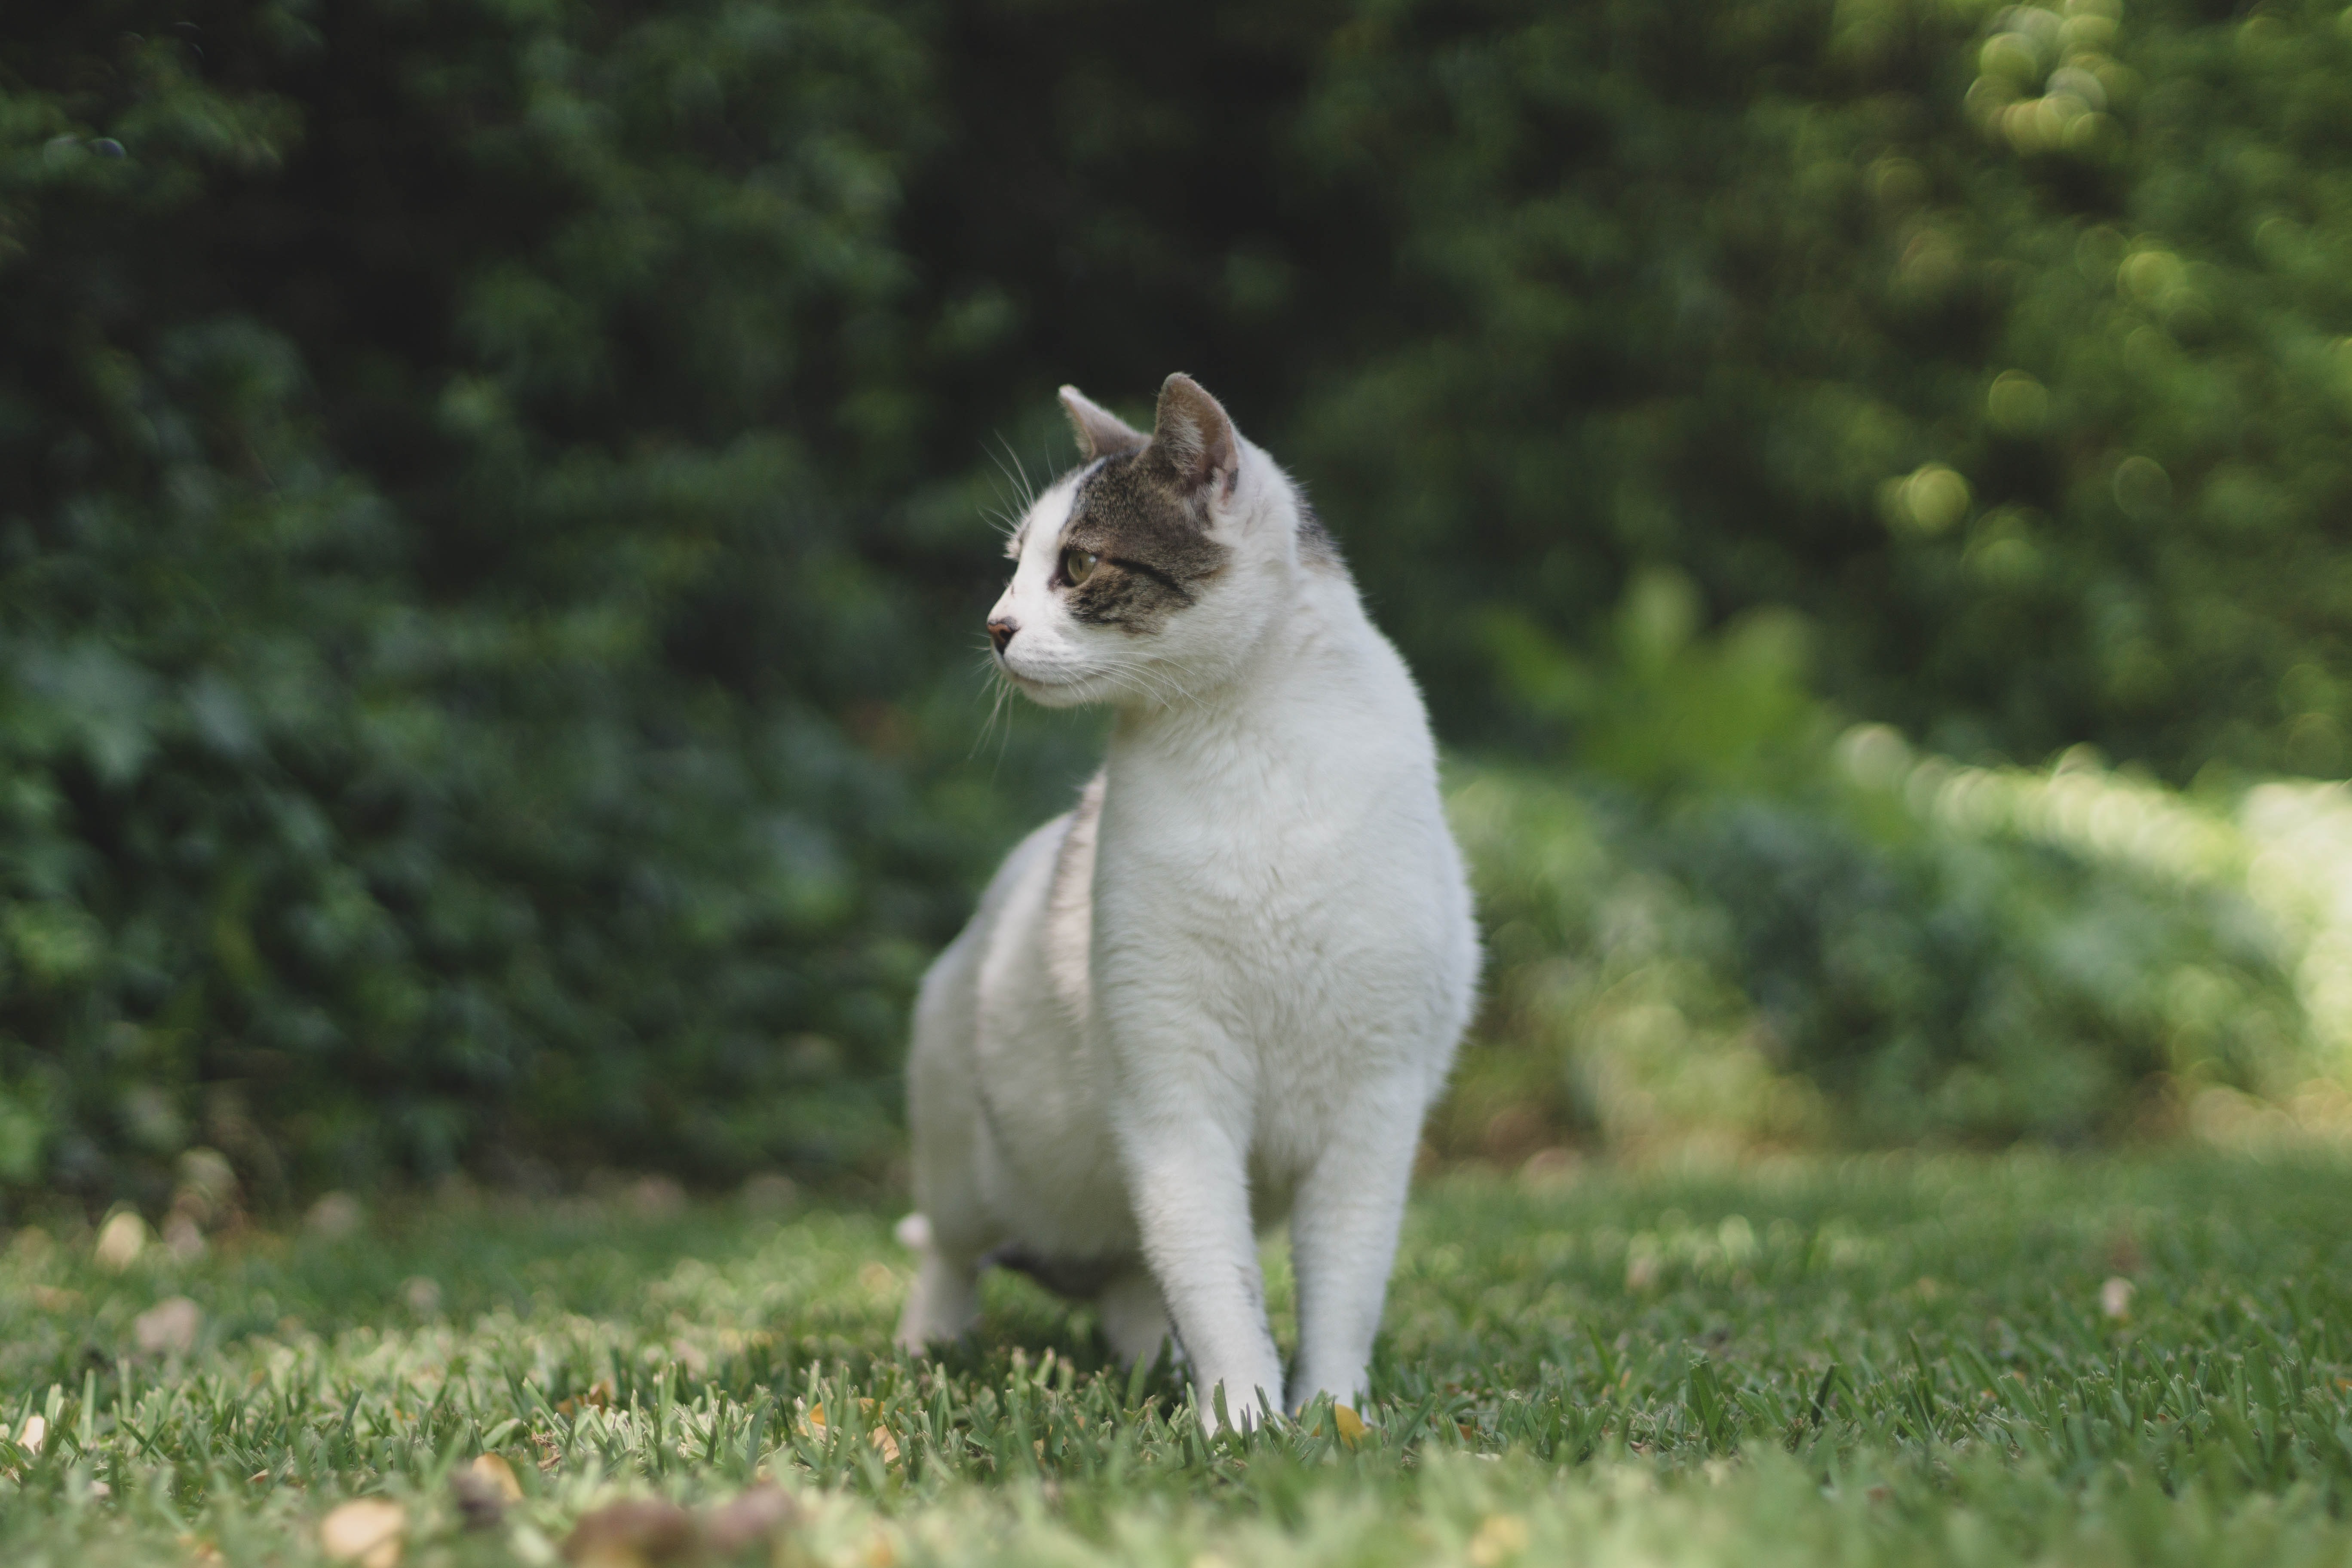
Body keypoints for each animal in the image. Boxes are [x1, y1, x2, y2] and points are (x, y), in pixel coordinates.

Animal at [889, 374, 1477, 1429]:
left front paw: (1330, 1417)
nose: (994, 626)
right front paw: (1241, 1421)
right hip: (964, 1160)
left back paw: (1145, 1364)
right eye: (1013, 567)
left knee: (1132, 1275)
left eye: (1078, 563)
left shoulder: (1371, 1108)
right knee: (951, 1256)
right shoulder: (1174, 1092)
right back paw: (929, 1349)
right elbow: (1215, 1276)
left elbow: (1342, 1286)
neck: (1246, 744)